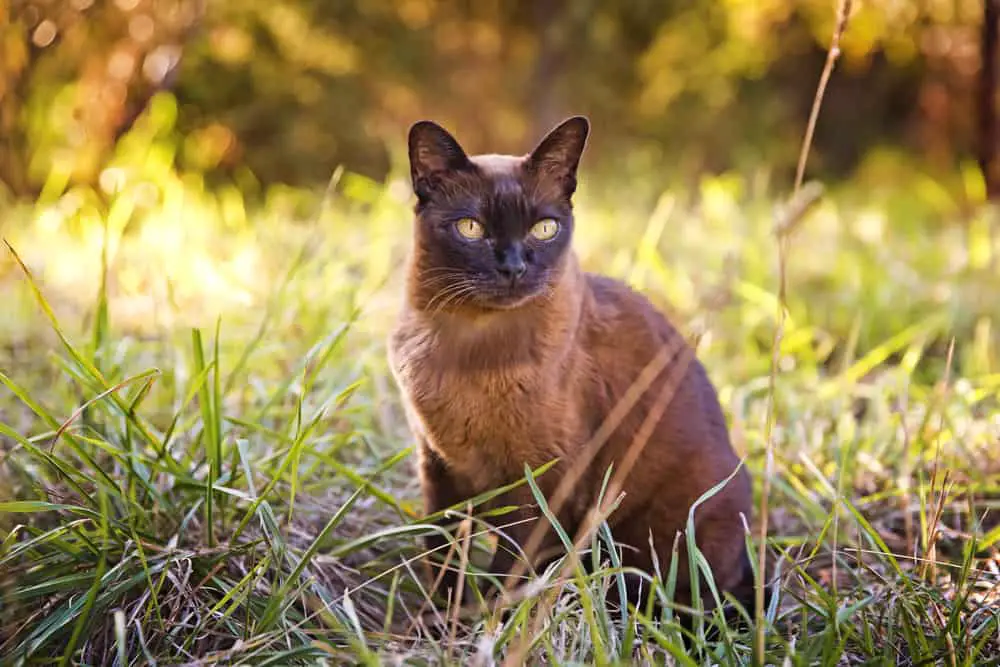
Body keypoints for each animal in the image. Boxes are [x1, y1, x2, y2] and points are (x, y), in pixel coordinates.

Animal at [388, 113, 756, 628]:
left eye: (544, 229)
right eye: (470, 228)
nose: (514, 268)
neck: (468, 346)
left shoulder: (543, 485)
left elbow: (506, 576)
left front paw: (478, 630)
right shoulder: (438, 468)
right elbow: (439, 553)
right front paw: (439, 618)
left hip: (659, 535)